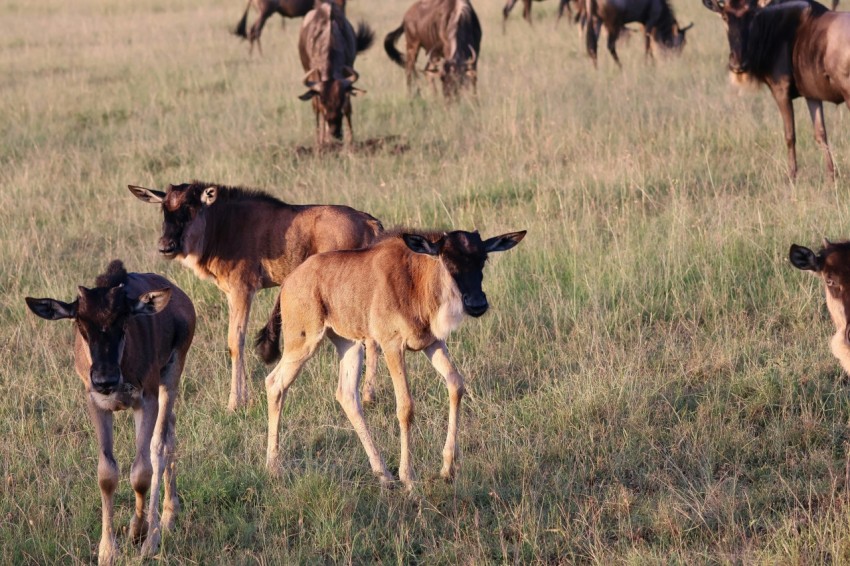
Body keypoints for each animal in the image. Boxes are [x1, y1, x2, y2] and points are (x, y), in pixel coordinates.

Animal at [25, 261, 195, 566]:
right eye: (80, 323)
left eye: (124, 321)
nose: (105, 379)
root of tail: (180, 297)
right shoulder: (97, 404)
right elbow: (107, 473)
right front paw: (107, 549)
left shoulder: (146, 400)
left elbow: (142, 471)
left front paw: (138, 532)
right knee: (171, 433)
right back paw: (169, 515)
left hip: (171, 376)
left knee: (161, 445)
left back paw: (153, 536)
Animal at [128, 181, 384, 410]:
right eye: (164, 209)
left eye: (190, 207)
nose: (165, 246)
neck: (221, 225)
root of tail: (369, 222)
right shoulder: (231, 294)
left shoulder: (242, 290)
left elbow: (235, 342)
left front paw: (235, 403)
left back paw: (367, 396)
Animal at [264, 229, 526, 490]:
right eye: (448, 260)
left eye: (483, 259)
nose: (477, 304)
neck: (416, 281)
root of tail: (289, 282)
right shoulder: (392, 346)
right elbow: (405, 406)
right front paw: (408, 477)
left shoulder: (433, 343)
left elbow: (456, 384)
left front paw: (447, 469)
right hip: (303, 344)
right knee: (275, 383)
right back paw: (273, 467)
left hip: (349, 345)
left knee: (347, 395)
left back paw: (383, 474)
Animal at [298, 1, 374, 146]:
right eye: (324, 101)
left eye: (341, 99)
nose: (335, 134)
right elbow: (318, 109)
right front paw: (322, 141)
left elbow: (348, 108)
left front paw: (350, 140)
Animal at [703, 0, 850, 181]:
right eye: (724, 17)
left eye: (751, 15)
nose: (737, 64)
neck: (771, 27)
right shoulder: (812, 95)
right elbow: (820, 134)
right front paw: (831, 176)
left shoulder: (780, 91)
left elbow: (790, 135)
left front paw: (792, 176)